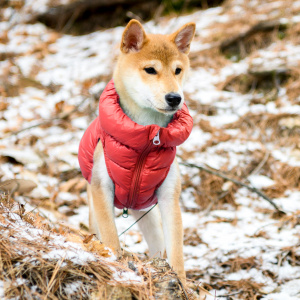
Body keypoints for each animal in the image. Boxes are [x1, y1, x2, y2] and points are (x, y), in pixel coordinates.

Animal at [78, 18, 195, 282]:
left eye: (178, 70)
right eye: (150, 70)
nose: (175, 97)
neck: (146, 139)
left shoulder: (169, 195)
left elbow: (176, 252)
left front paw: (181, 282)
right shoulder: (102, 188)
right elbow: (111, 240)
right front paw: (116, 265)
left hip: (147, 215)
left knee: (158, 244)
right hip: (95, 205)